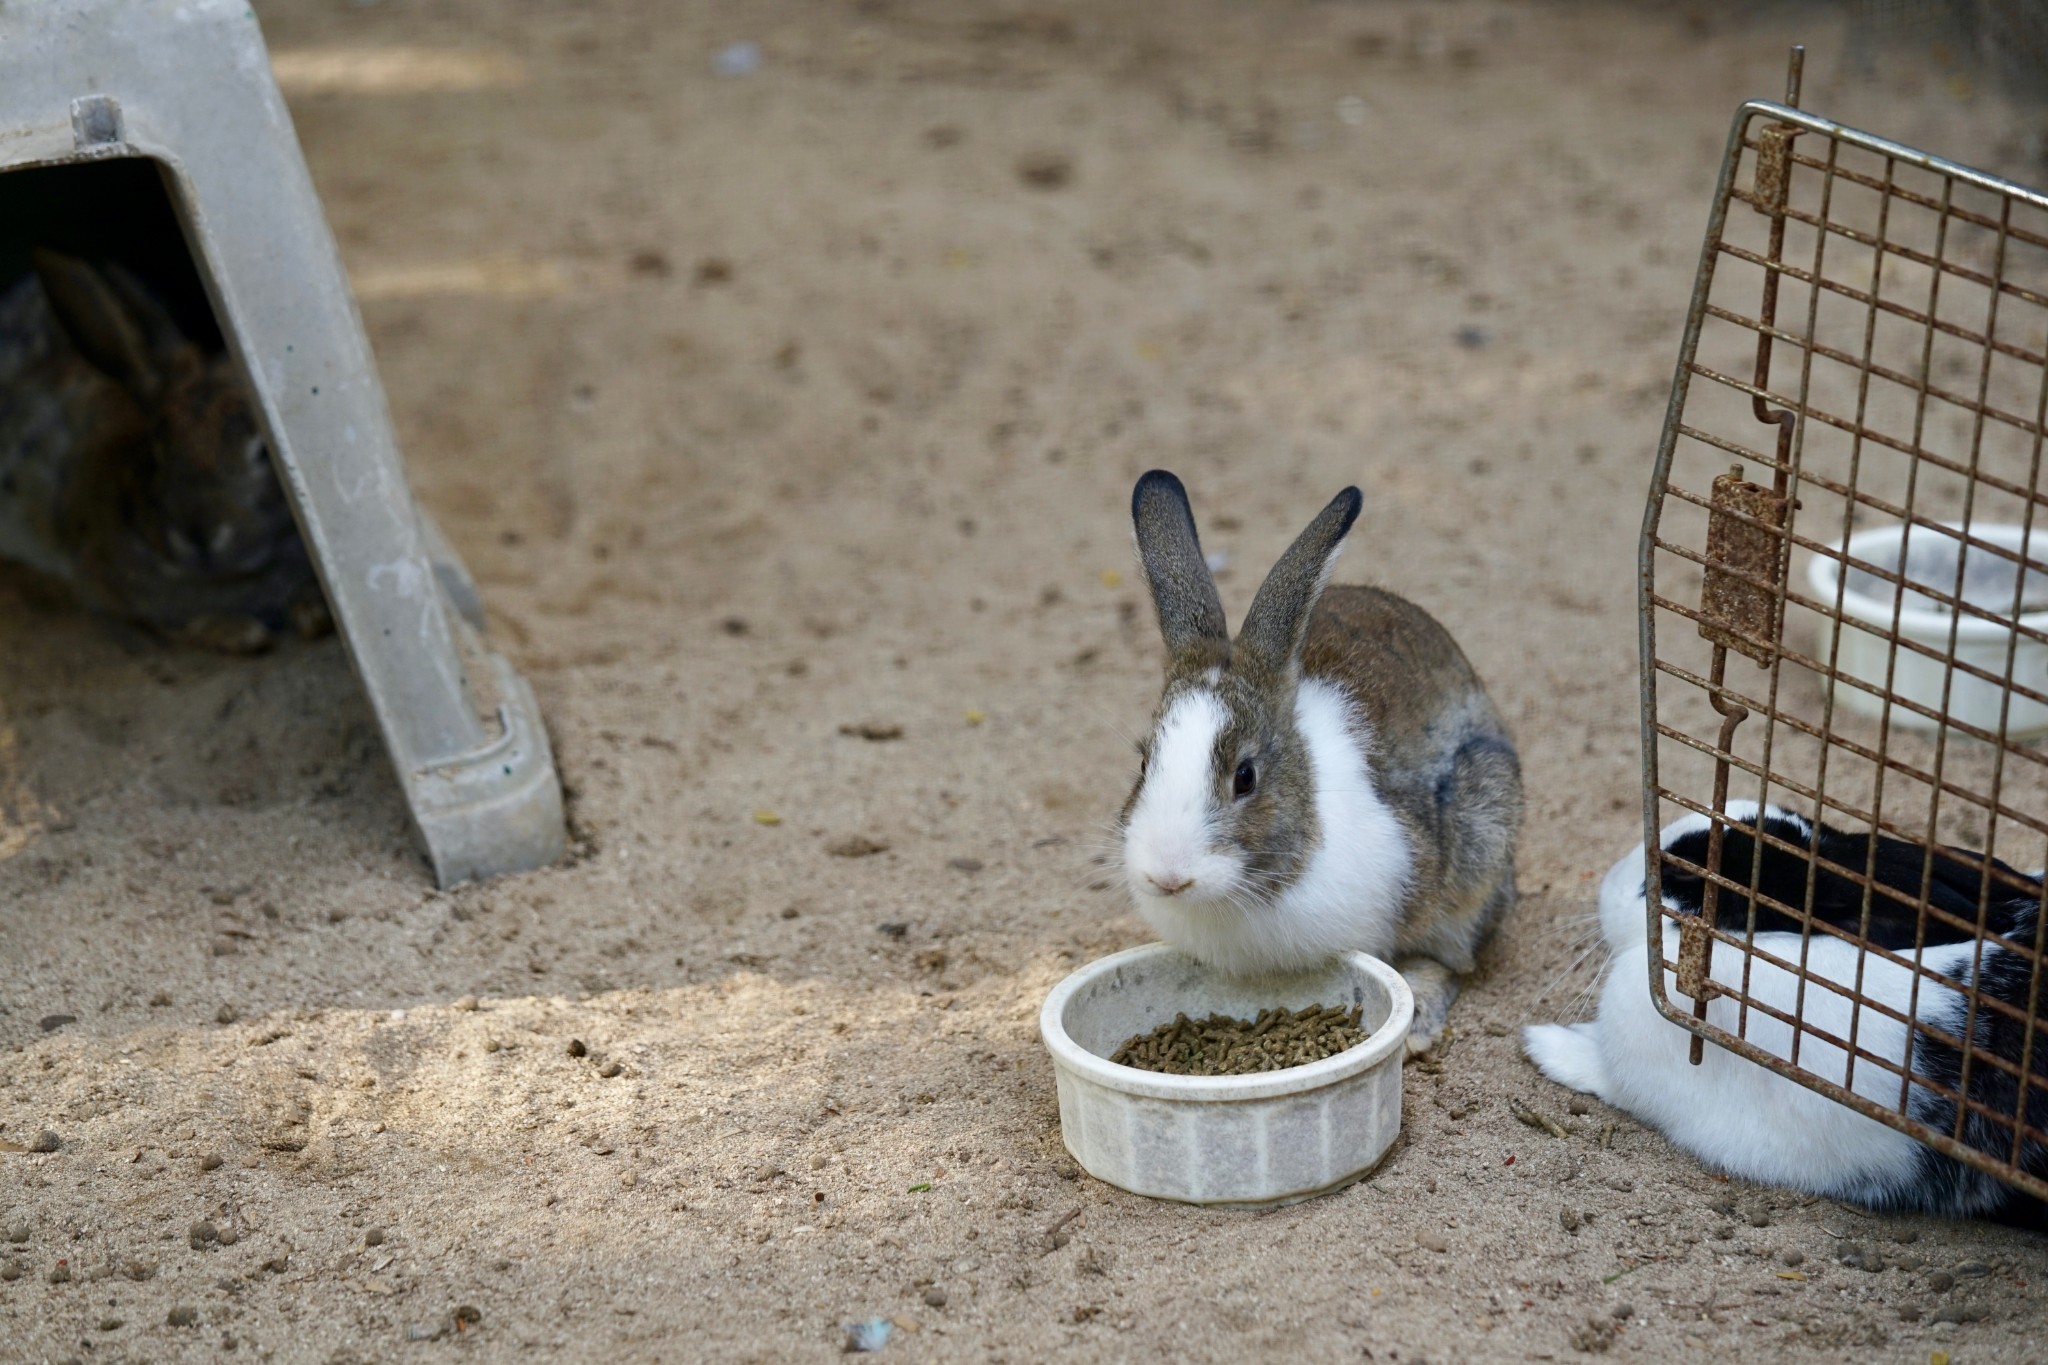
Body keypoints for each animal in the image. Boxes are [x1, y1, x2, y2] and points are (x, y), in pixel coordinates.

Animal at [0, 248, 321, 654]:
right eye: (157, 446)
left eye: (265, 452)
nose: (199, 536)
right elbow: (172, 626)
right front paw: (238, 632)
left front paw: (312, 615)